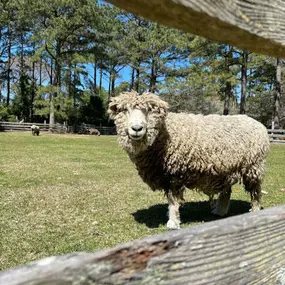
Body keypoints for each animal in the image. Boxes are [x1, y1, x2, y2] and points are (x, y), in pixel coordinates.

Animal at [107, 92, 270, 230]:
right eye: (124, 110)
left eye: (148, 110)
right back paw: (220, 211)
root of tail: (257, 123)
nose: (137, 128)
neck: (164, 134)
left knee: (255, 192)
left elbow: (173, 200)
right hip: (226, 168)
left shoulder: (175, 174)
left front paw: (173, 222)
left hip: (253, 166)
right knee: (226, 191)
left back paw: (254, 211)